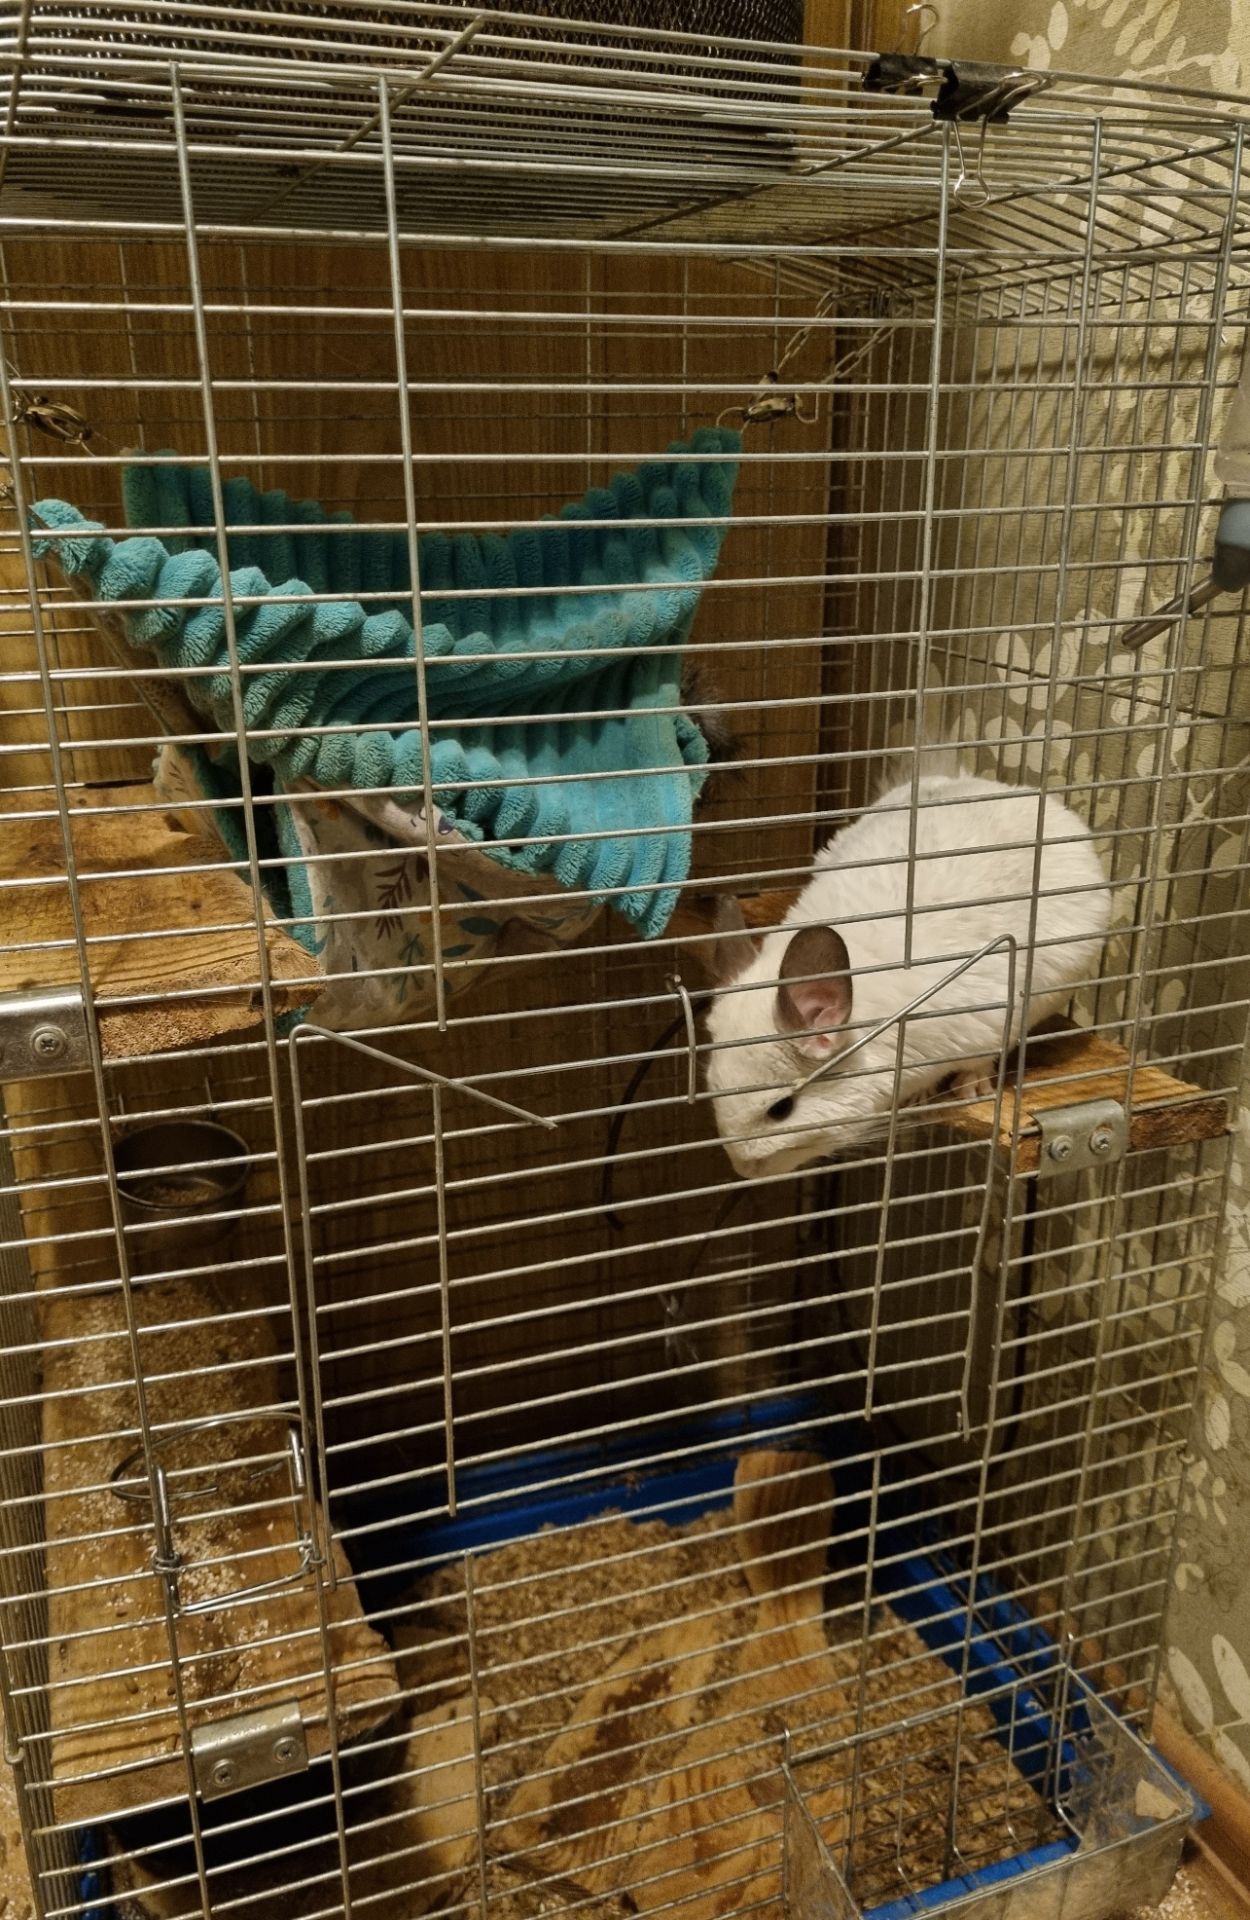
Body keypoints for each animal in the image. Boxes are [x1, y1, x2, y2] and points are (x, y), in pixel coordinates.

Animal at [703, 764, 1112, 1180]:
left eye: (781, 1109)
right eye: (710, 1087)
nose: (744, 1171)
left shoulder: (996, 1022)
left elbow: (980, 1061)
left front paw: (967, 1090)